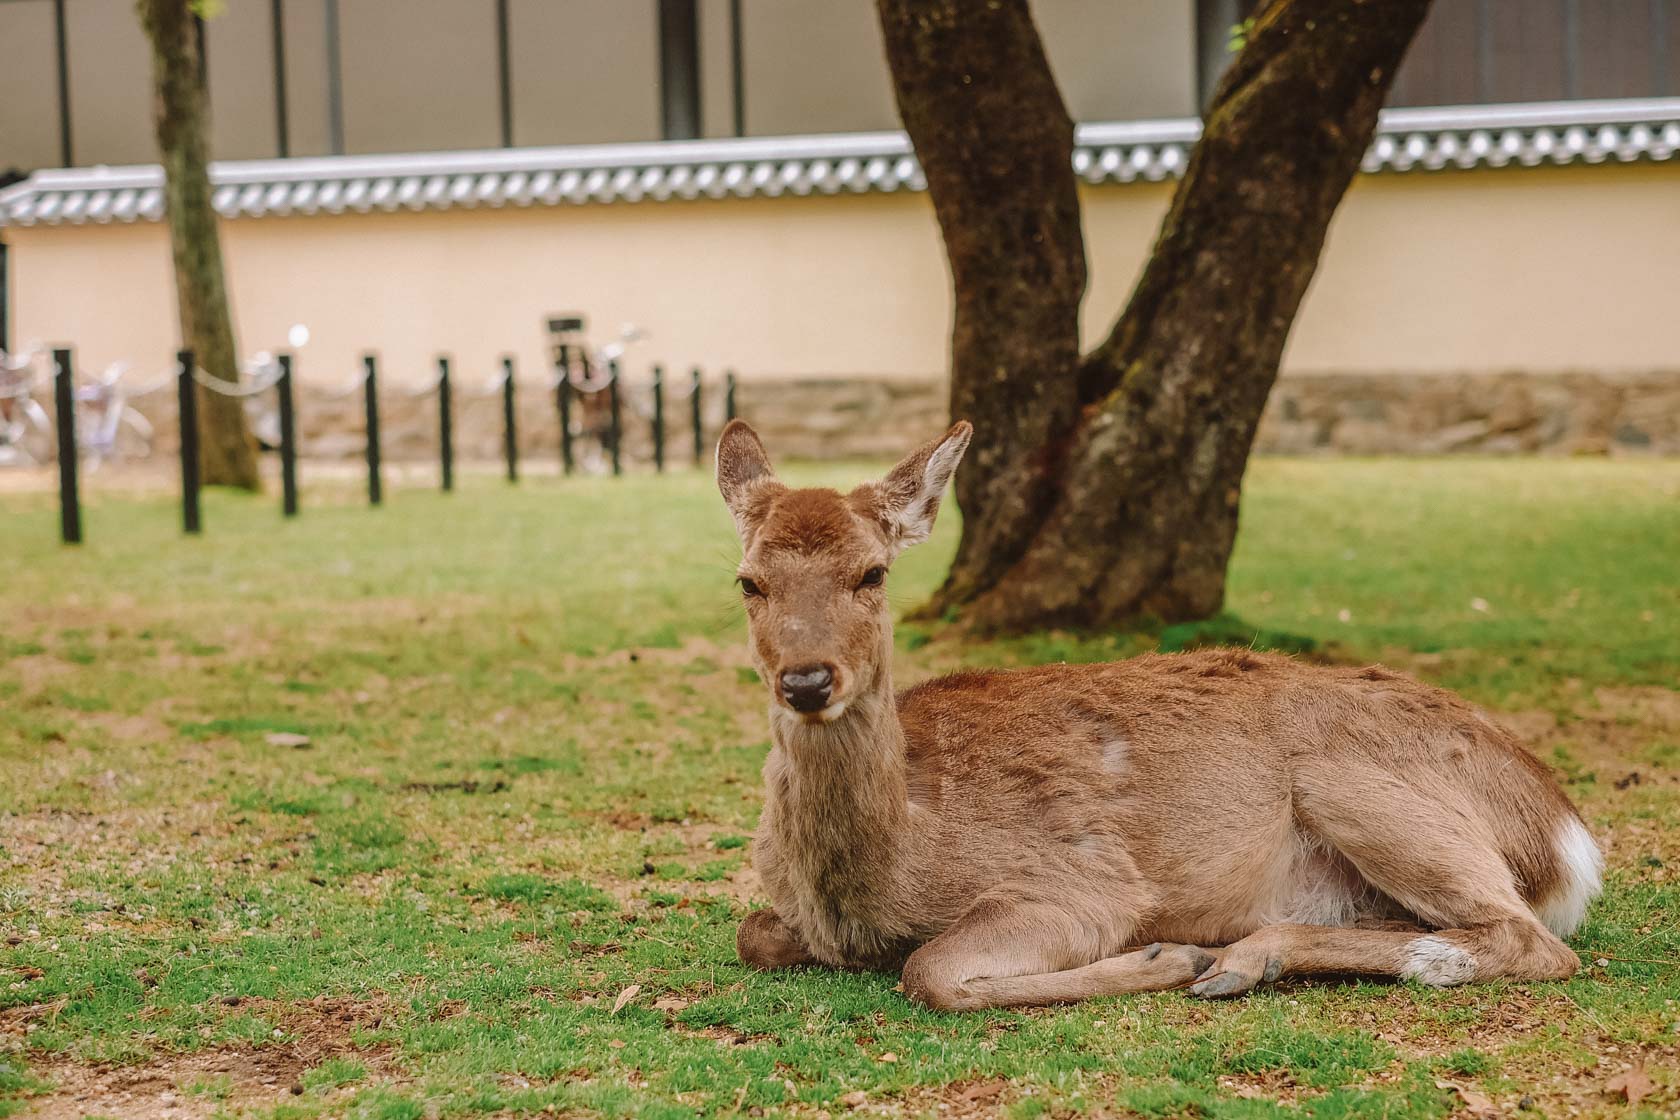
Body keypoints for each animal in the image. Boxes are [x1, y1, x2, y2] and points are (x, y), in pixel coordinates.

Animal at [715, 418, 1606, 1007]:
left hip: (1357, 788)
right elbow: (752, 931)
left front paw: (1164, 958)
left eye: (872, 572)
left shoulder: (1078, 885)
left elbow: (929, 971)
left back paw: (1233, 959)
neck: (889, 874)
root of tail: (1565, 836)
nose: (806, 680)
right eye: (749, 581)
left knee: (1529, 938)